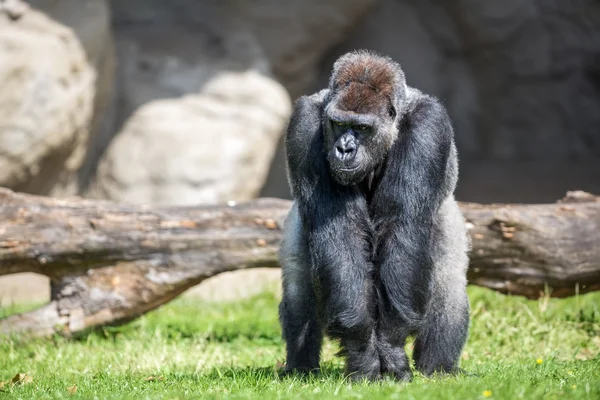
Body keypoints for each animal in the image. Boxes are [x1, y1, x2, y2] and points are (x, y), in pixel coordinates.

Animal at [278, 50, 472, 382]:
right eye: (338, 124)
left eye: (363, 129)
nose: (344, 149)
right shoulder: (304, 122)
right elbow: (341, 233)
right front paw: (362, 351)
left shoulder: (429, 124)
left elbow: (402, 225)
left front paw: (390, 346)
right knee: (298, 284)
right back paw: (301, 369)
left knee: (448, 280)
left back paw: (438, 369)